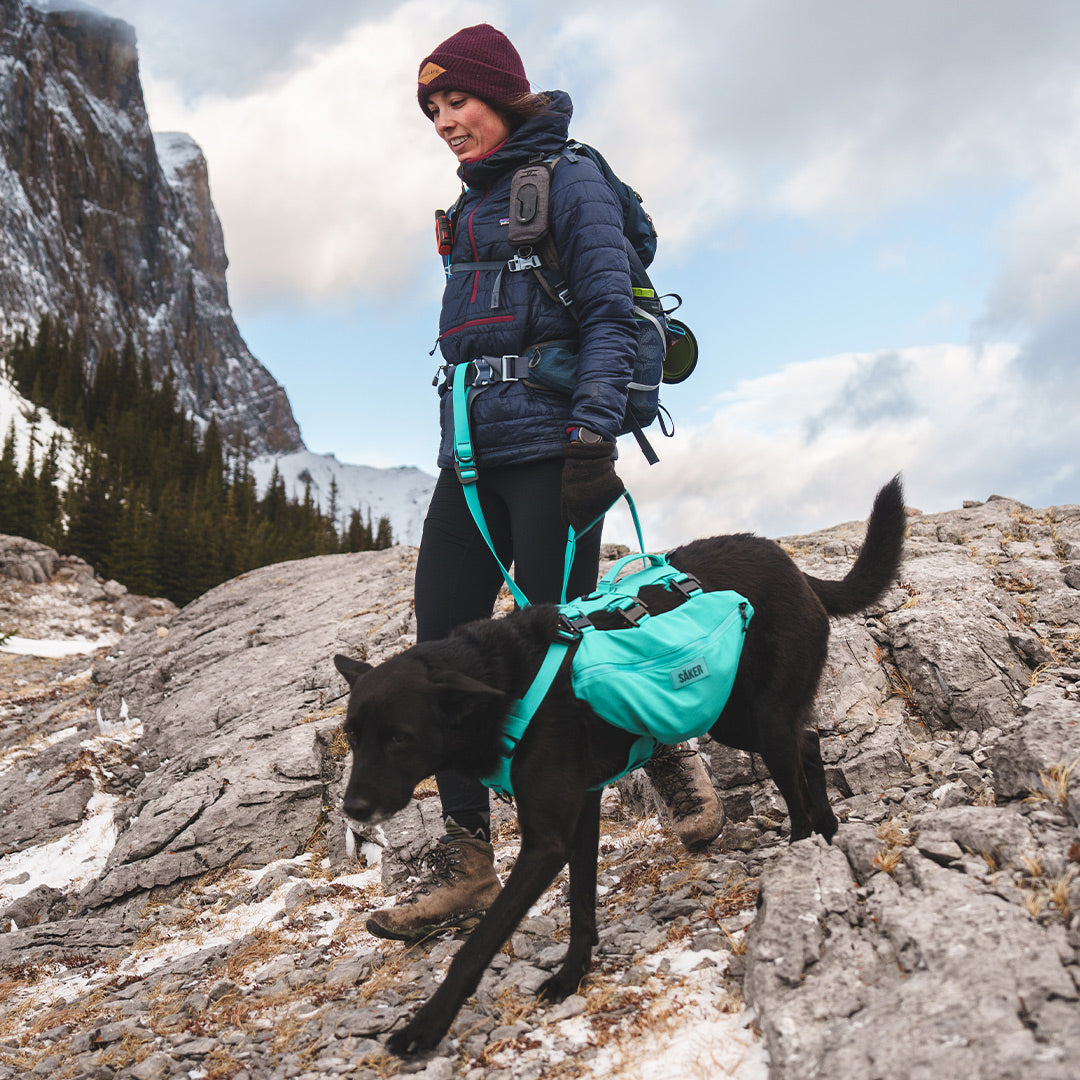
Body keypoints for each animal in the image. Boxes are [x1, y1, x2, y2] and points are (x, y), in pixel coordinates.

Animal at [332, 479, 907, 1054]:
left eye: (399, 738)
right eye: (353, 737)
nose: (353, 808)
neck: (504, 683)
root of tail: (793, 566)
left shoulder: (545, 842)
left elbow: (480, 941)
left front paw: (426, 1026)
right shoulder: (581, 811)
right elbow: (581, 905)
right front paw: (572, 975)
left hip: (761, 718)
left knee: (797, 781)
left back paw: (801, 850)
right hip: (734, 717)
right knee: (807, 741)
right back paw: (828, 830)